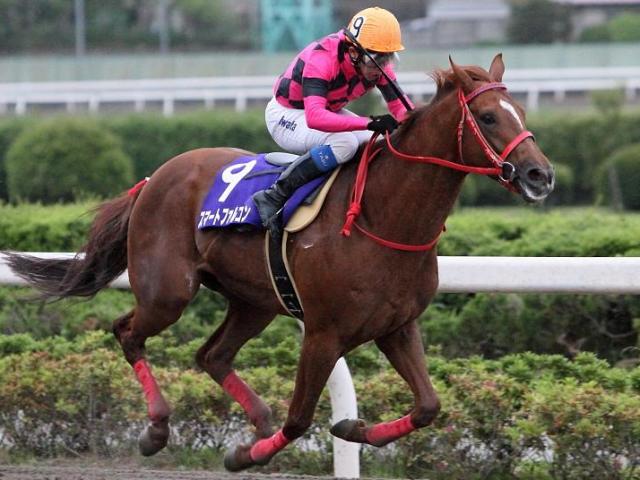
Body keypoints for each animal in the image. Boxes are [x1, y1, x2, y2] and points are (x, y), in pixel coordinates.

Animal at [3, 54, 554, 471]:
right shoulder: (324, 333)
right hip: (168, 292)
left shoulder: (397, 326)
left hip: (255, 301)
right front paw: (248, 455)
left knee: (212, 355)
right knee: (128, 332)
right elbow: (300, 419)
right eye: (488, 117)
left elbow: (428, 407)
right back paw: (158, 429)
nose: (540, 175)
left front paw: (351, 426)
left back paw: (254, 419)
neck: (383, 218)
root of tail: (156, 176)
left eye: (522, 111)